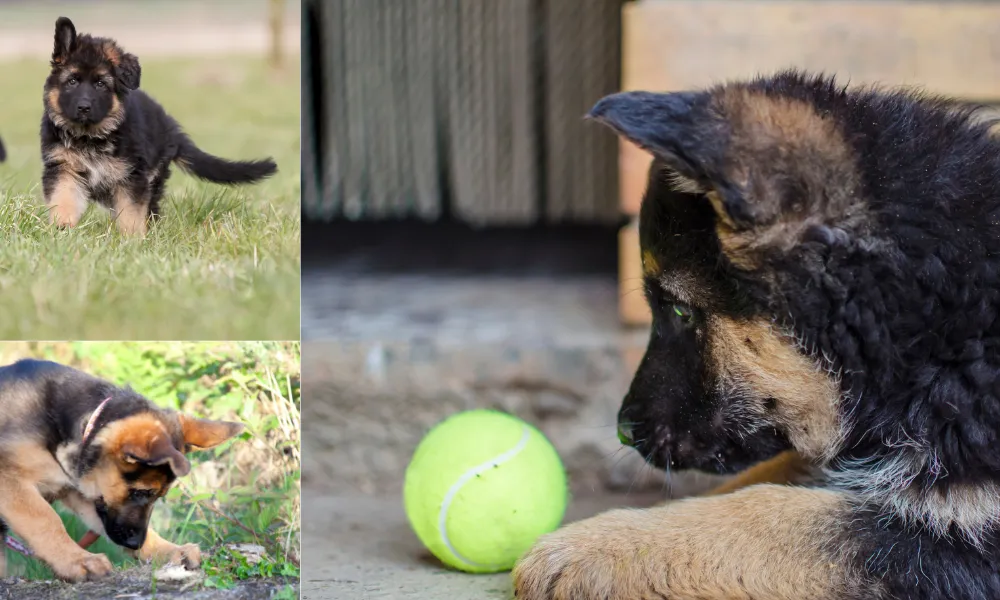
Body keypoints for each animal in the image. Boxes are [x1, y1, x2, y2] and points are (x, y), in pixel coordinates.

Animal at [0, 360, 244, 580]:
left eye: (158, 496)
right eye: (141, 492)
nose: (136, 543)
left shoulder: (86, 493)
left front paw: (169, 550)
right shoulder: (11, 482)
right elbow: (46, 520)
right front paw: (77, 560)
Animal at [41, 16, 278, 237]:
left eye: (100, 84)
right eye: (72, 81)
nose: (83, 108)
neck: (90, 137)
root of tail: (170, 127)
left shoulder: (131, 177)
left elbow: (130, 212)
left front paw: (132, 240)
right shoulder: (64, 168)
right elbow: (64, 198)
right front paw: (62, 227)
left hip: (154, 176)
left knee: (150, 209)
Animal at [516, 71, 1000, 600]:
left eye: (680, 311)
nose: (625, 430)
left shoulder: (963, 534)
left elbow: (771, 513)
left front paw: (586, 547)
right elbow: (764, 482)